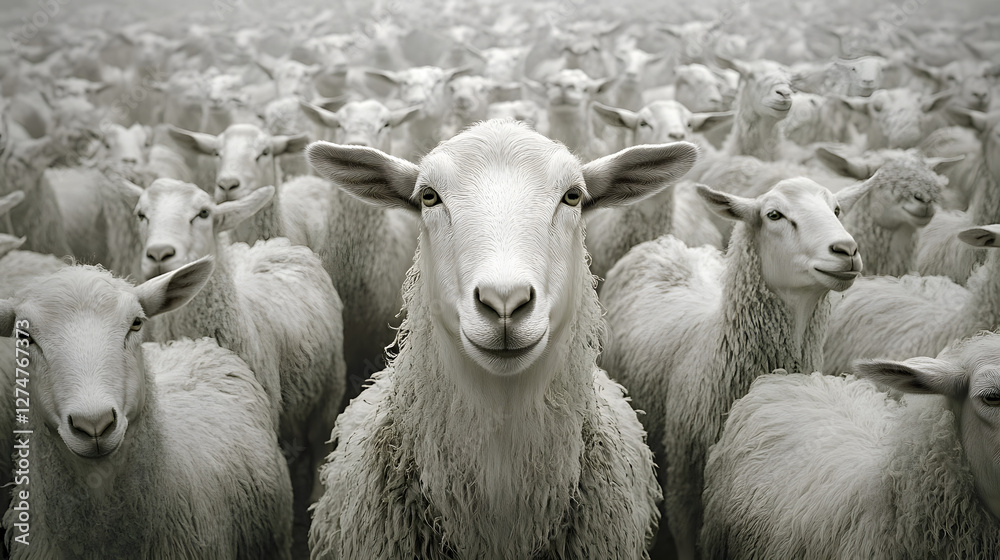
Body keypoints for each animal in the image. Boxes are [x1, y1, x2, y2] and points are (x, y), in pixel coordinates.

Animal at [121, 178, 344, 558]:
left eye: (203, 213)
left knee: (318, 445)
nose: (160, 254)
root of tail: (272, 244)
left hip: (329, 390)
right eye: (141, 214)